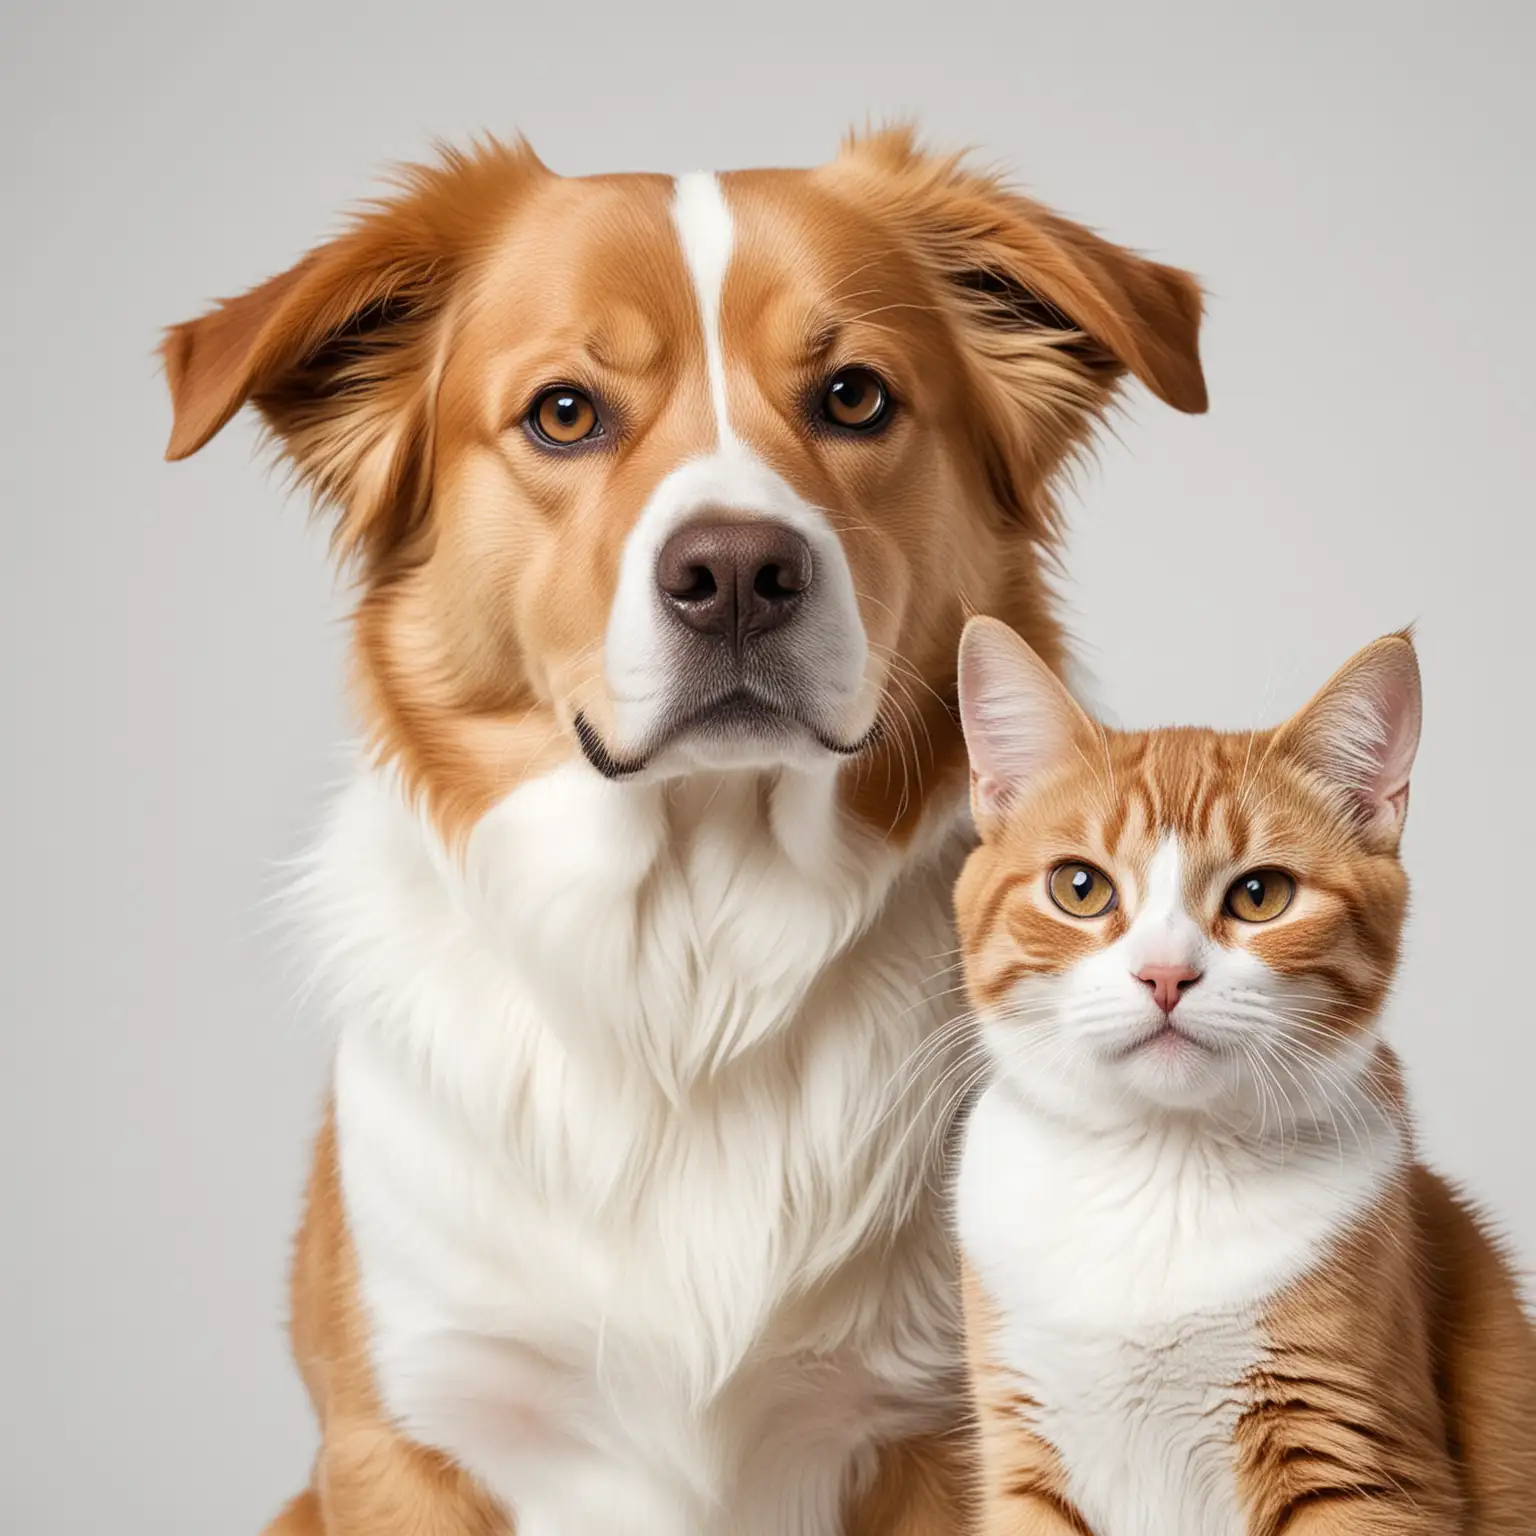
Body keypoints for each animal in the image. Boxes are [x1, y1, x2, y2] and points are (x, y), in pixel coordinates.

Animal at [162, 132, 1204, 1536]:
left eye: (855, 396)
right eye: (564, 412)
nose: (738, 576)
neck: (693, 958)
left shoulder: (954, 1425)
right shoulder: (407, 1436)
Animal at [946, 614, 1536, 1536]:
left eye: (1261, 895)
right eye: (1079, 887)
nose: (1164, 974)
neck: (1158, 1171)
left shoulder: (1354, 1455)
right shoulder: (1022, 1456)